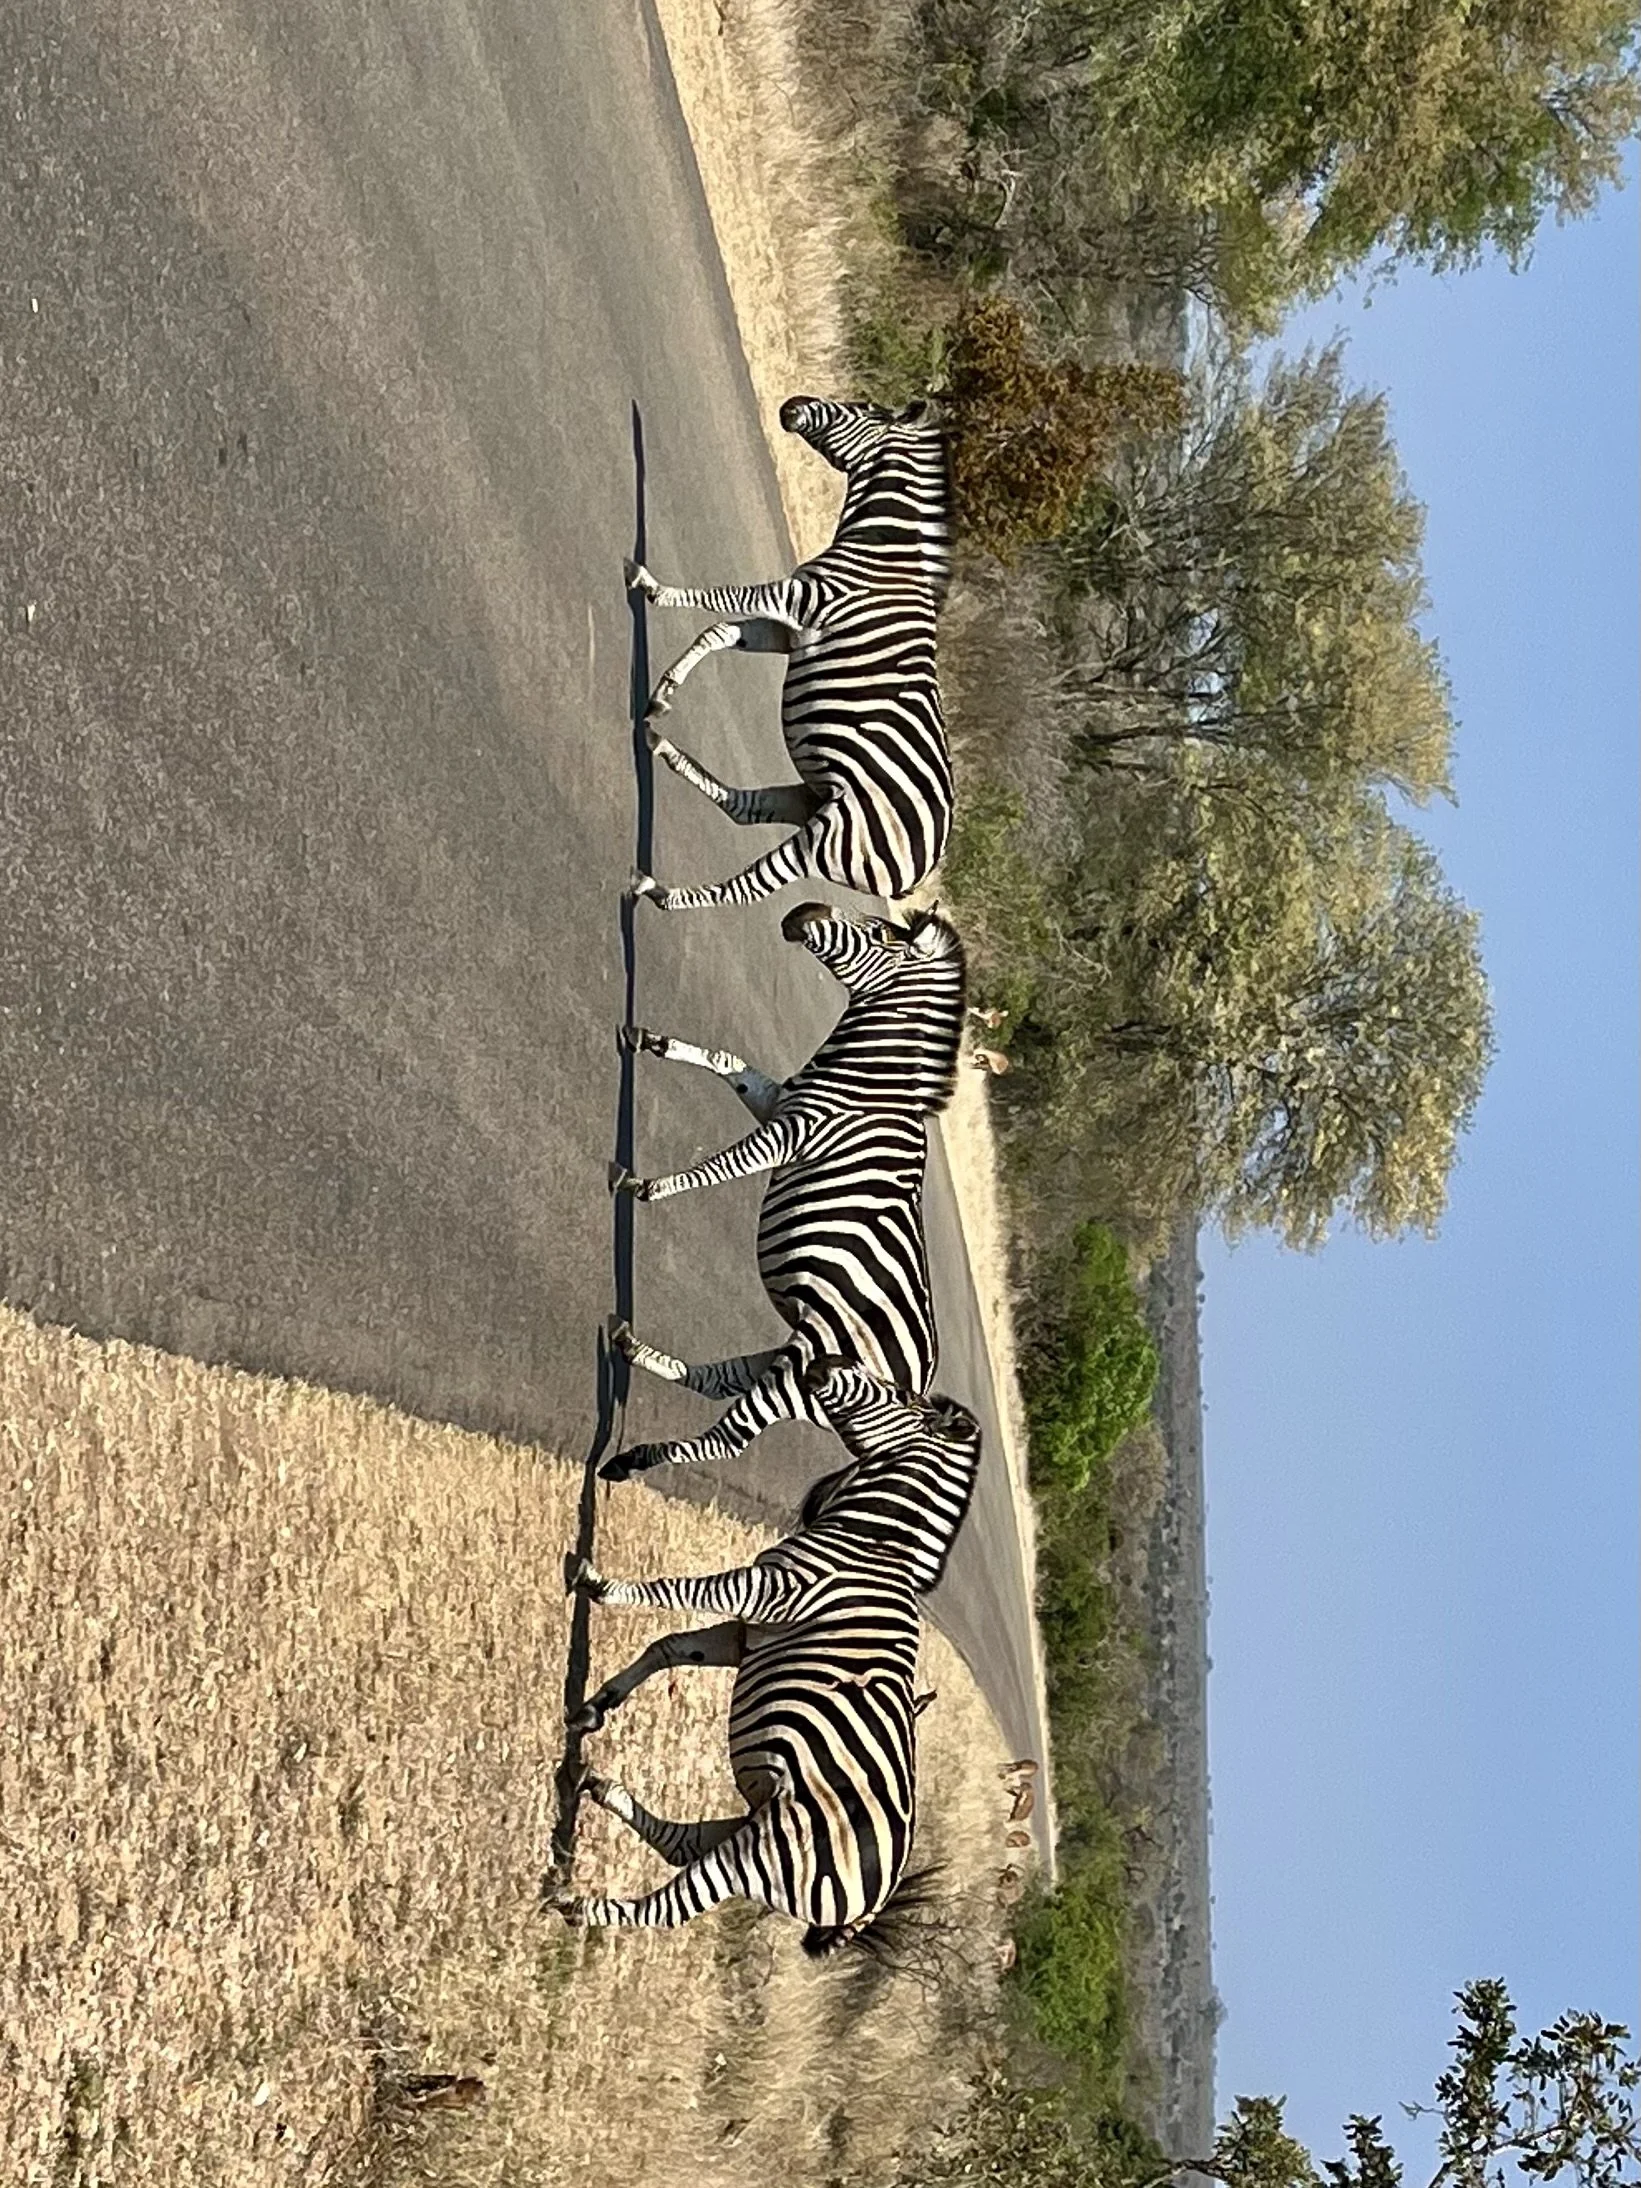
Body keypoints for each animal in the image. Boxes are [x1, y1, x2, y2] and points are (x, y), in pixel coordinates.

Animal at [547, 1360, 982, 1955]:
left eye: (899, 1395)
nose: (823, 1364)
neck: (876, 1542)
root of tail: (873, 1903)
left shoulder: (765, 1591)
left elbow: (675, 1590)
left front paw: (599, 1585)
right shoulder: (747, 1633)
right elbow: (669, 1646)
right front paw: (597, 1705)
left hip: (771, 1852)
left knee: (670, 1906)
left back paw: (578, 1905)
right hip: (760, 1820)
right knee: (683, 1846)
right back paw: (602, 1790)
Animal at [601, 899, 966, 1481]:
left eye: (881, 934)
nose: (801, 909)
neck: (870, 1085)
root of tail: (920, 1402)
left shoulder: (792, 1134)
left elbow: (723, 1166)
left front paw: (644, 1187)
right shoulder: (776, 1102)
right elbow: (728, 1062)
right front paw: (653, 1041)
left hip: (804, 1374)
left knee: (726, 1441)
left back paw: (628, 1461)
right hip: (799, 1356)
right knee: (718, 1381)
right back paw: (631, 1350)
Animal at [625, 396, 953, 911]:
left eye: (866, 409)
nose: (792, 405)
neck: (885, 553)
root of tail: (925, 866)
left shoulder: (799, 598)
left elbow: (721, 598)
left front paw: (650, 585)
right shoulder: (789, 630)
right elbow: (718, 630)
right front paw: (664, 694)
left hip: (830, 842)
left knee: (744, 888)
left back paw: (659, 891)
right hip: (814, 798)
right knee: (745, 809)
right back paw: (662, 747)